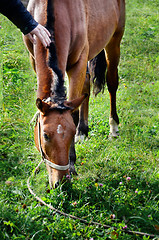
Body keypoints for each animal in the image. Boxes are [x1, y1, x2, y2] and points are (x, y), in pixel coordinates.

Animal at [23, 0, 125, 188]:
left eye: (69, 133)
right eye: (45, 135)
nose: (60, 182)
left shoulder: (78, 62)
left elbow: (74, 115)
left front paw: (71, 164)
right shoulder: (33, 59)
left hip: (114, 40)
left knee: (112, 83)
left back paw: (113, 126)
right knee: (86, 85)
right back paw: (83, 131)